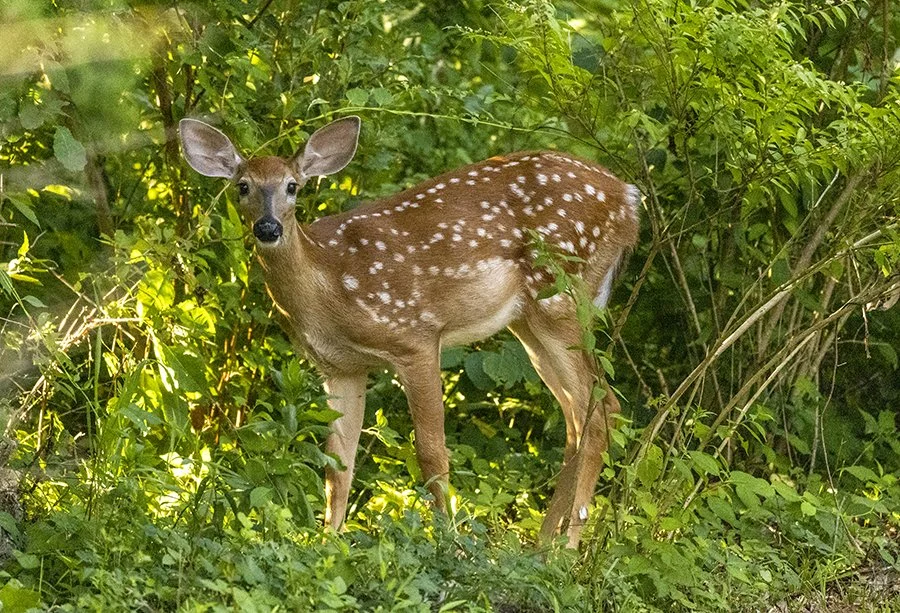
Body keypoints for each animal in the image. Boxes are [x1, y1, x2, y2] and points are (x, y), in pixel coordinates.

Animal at [178, 116, 640, 548]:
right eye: (242, 187)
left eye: (292, 186)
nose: (268, 228)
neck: (329, 288)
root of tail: (629, 198)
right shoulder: (340, 367)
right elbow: (337, 464)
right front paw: (329, 541)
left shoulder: (414, 336)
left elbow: (432, 453)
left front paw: (452, 544)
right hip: (530, 321)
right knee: (576, 418)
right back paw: (542, 545)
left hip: (561, 293)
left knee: (603, 408)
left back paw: (567, 548)